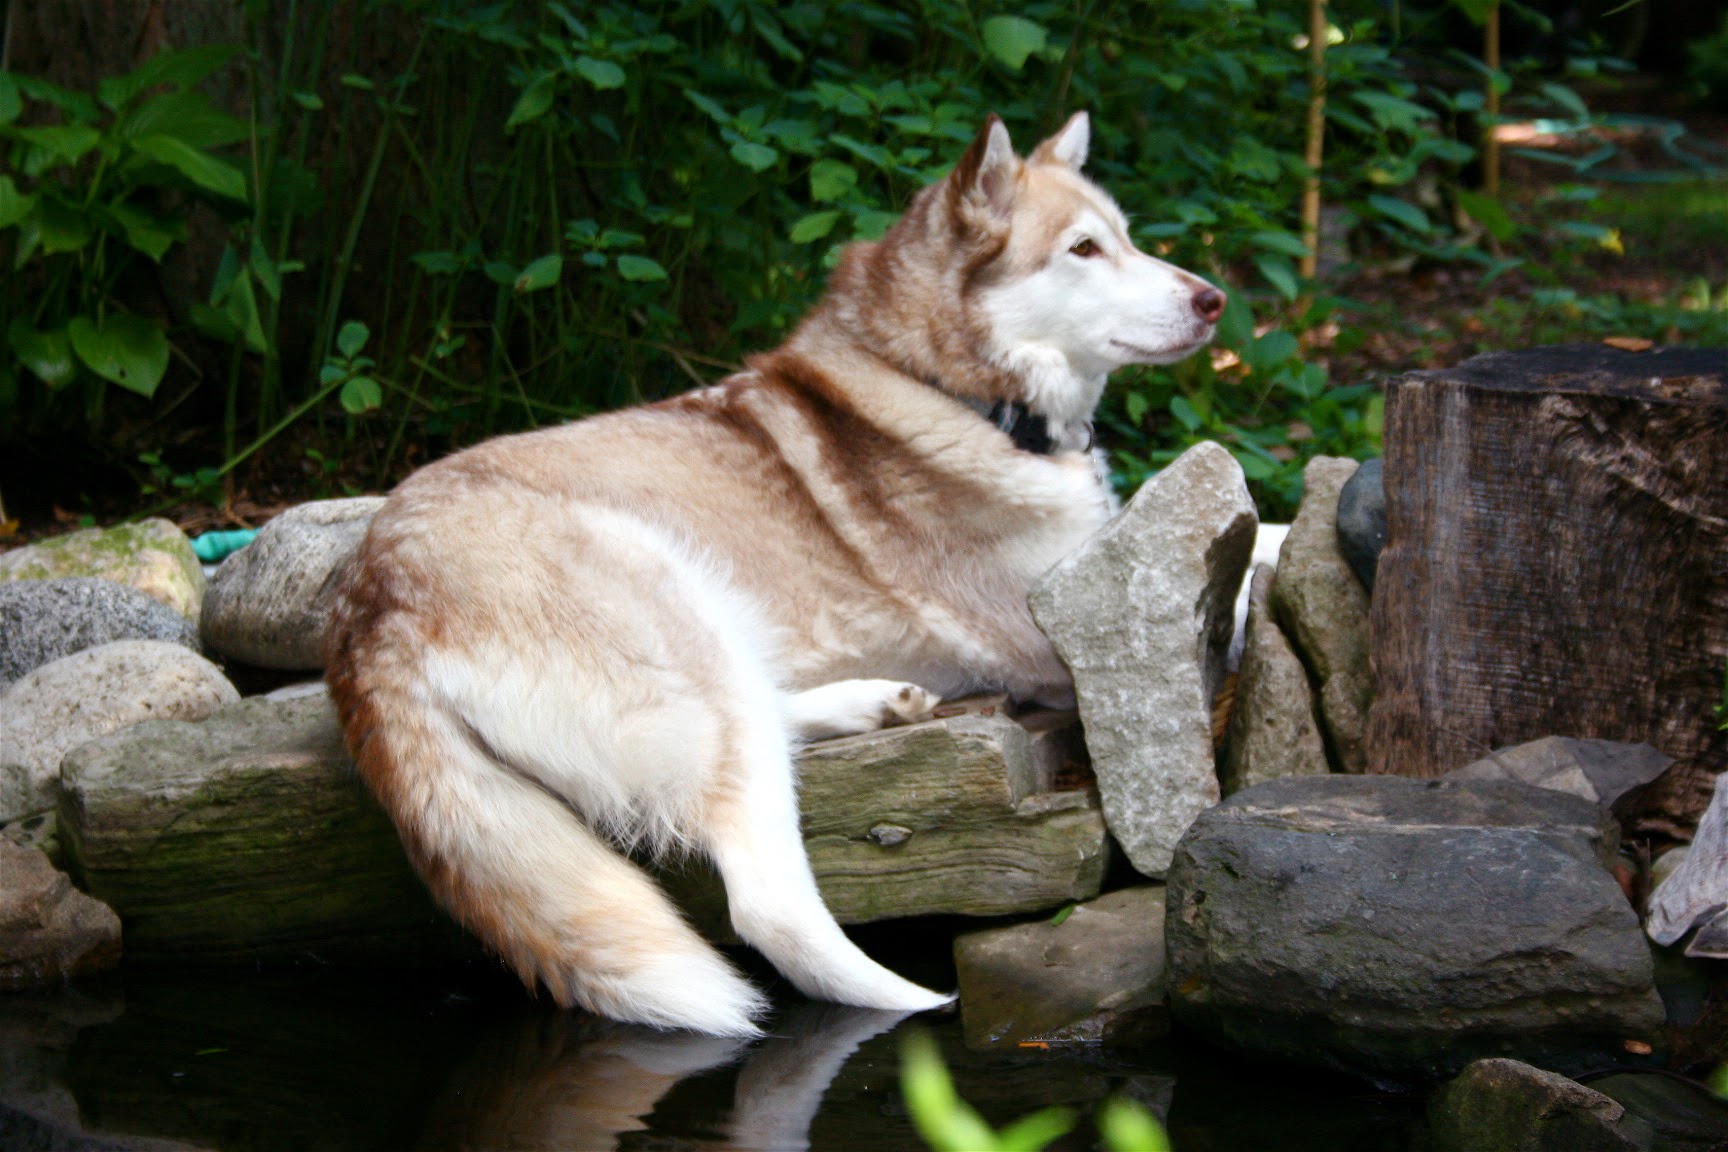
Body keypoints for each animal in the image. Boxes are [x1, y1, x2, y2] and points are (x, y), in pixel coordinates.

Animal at [324, 112, 1216, 1043]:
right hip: (678, 604)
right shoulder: (1053, 625)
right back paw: (916, 1004)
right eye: (1084, 248)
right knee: (767, 906)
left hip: (714, 653)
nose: (1213, 299)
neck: (950, 389)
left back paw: (872, 704)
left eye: (1127, 237)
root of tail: (367, 607)